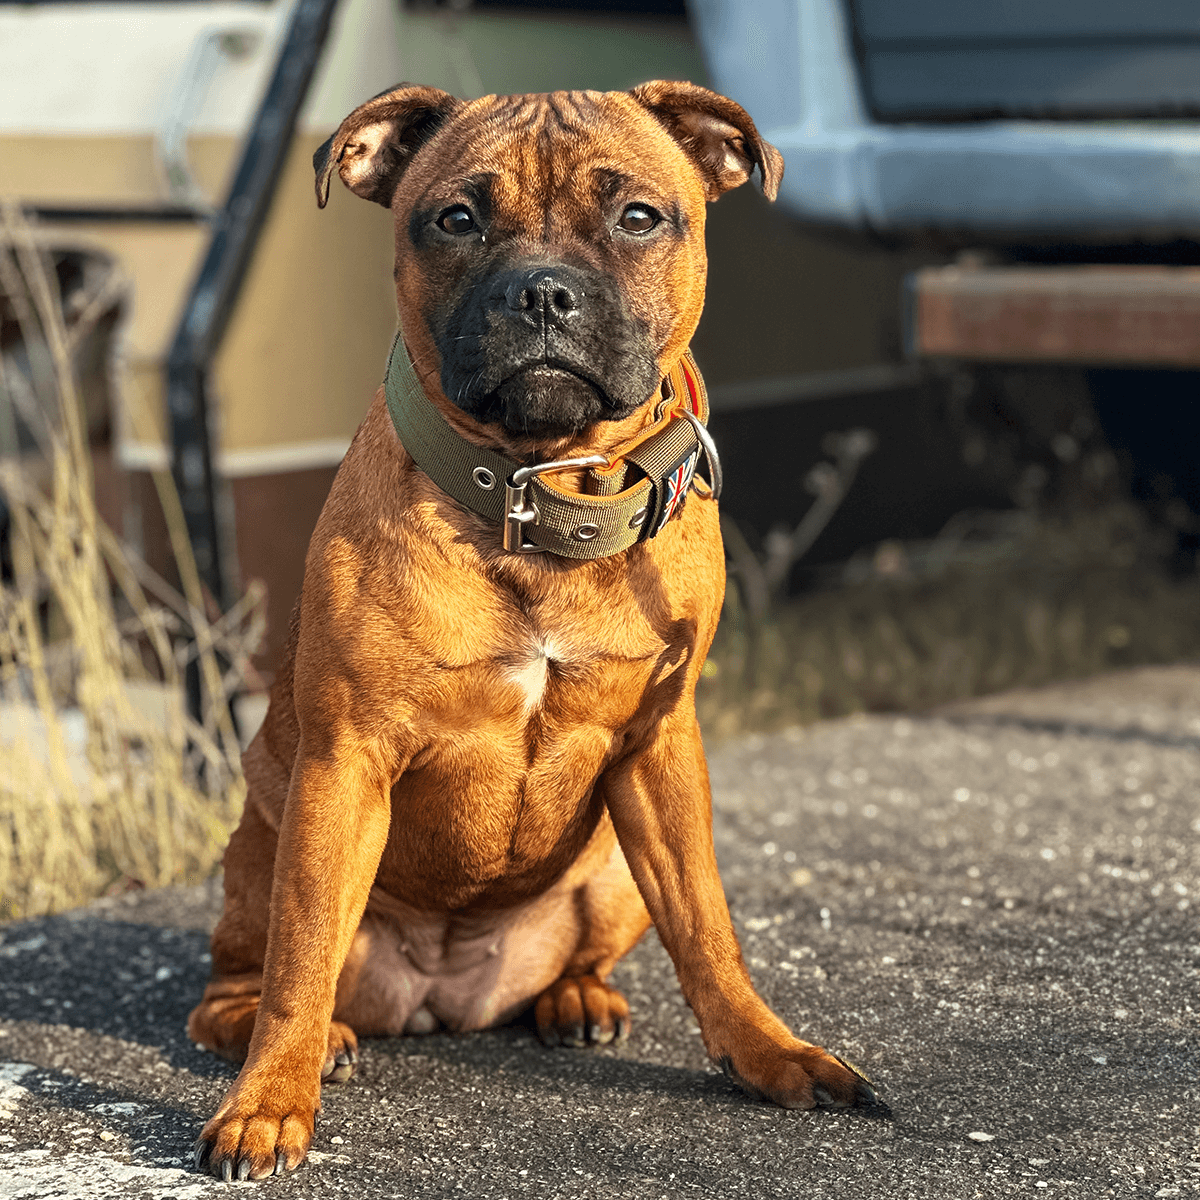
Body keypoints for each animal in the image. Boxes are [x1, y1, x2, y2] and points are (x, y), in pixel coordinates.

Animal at [189, 77, 883, 1180]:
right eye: (455, 219)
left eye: (638, 216)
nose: (545, 294)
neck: (540, 490)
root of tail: (444, 993)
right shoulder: (344, 765)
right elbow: (301, 962)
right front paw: (268, 1105)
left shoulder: (660, 748)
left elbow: (709, 929)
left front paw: (769, 1052)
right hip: (261, 852)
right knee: (247, 985)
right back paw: (303, 1039)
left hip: (615, 869)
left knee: (604, 947)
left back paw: (579, 1000)